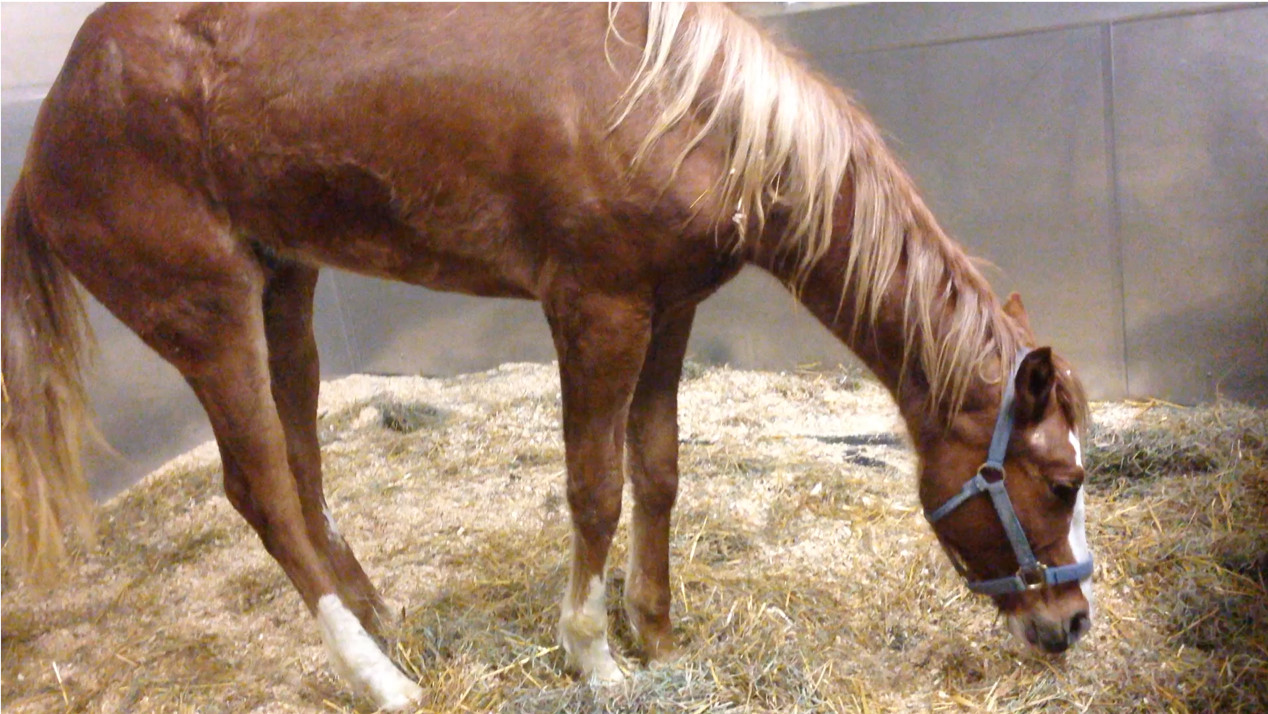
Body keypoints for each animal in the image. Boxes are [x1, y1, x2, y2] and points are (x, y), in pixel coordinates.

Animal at [0, 2, 1095, 710]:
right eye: (1061, 481)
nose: (1073, 620)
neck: (684, 108)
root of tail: (47, 137)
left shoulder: (669, 309)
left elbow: (657, 469)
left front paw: (655, 633)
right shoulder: (595, 313)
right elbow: (594, 488)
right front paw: (591, 655)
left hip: (287, 295)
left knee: (302, 467)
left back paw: (381, 618)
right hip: (208, 318)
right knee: (260, 489)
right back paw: (380, 679)